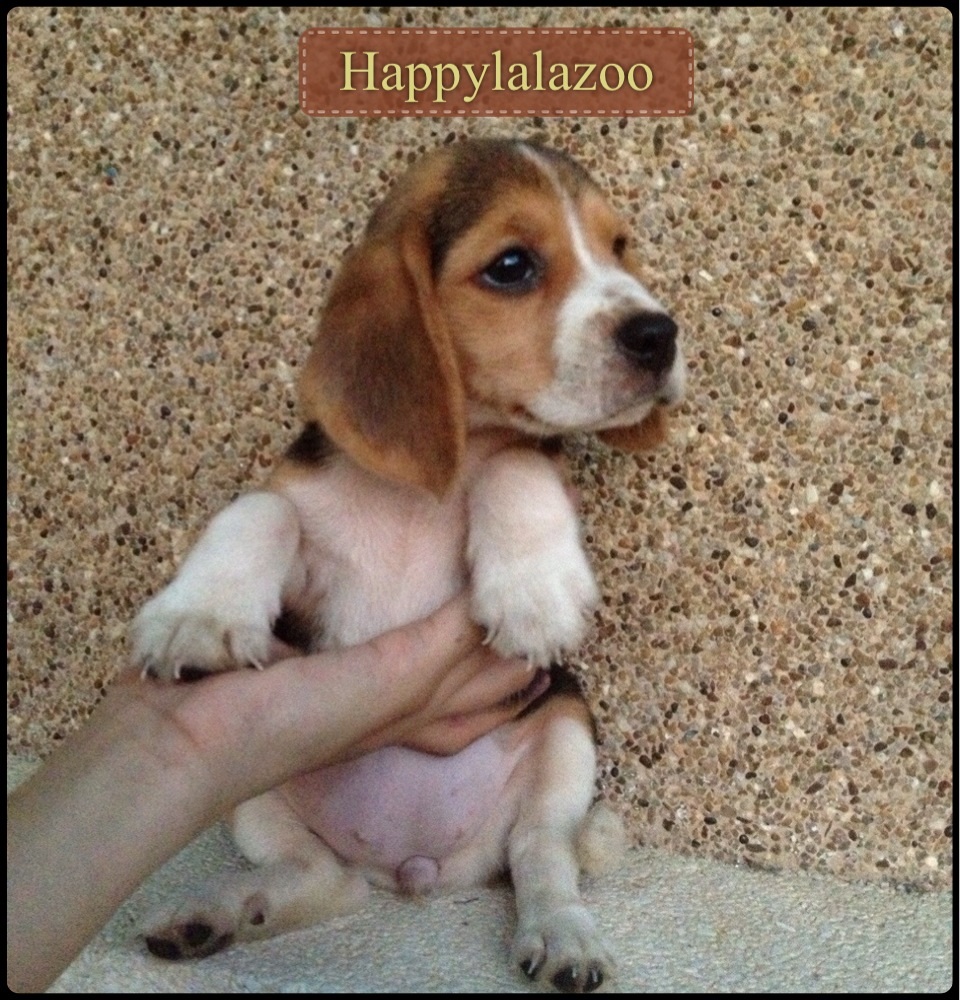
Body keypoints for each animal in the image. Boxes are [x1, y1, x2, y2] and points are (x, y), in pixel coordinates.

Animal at [132, 137, 684, 992]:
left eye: (620, 246)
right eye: (513, 265)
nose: (661, 334)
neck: (433, 482)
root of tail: (419, 866)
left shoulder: (517, 466)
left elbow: (516, 461)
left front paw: (533, 591)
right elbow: (264, 508)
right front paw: (201, 614)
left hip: (565, 727)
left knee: (541, 854)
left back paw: (563, 935)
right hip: (253, 794)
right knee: (323, 878)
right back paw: (220, 912)